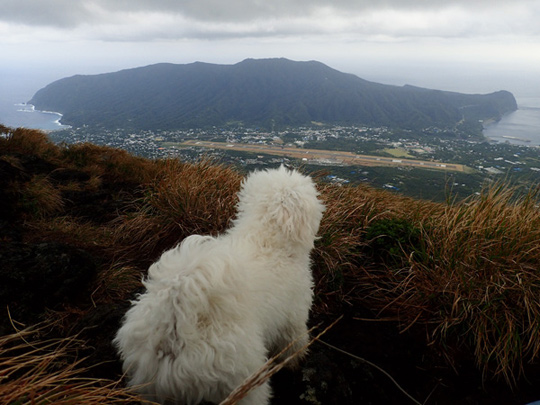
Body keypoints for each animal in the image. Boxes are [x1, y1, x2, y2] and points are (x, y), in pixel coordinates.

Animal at [114, 166, 324, 402]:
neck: (266, 238)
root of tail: (174, 322)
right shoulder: (293, 318)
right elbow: (294, 343)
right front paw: (296, 361)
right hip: (242, 378)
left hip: (151, 384)